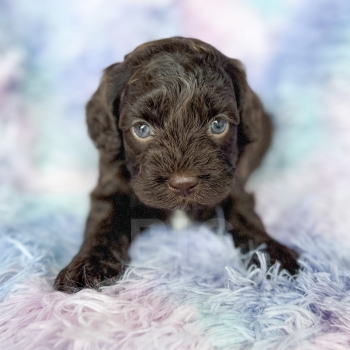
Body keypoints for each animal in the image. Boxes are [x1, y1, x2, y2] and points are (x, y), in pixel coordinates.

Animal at [54, 37, 298, 292]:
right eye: (142, 129)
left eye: (218, 125)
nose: (183, 184)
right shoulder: (111, 187)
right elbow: (103, 226)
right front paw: (86, 267)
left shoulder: (233, 186)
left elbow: (246, 219)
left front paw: (273, 256)